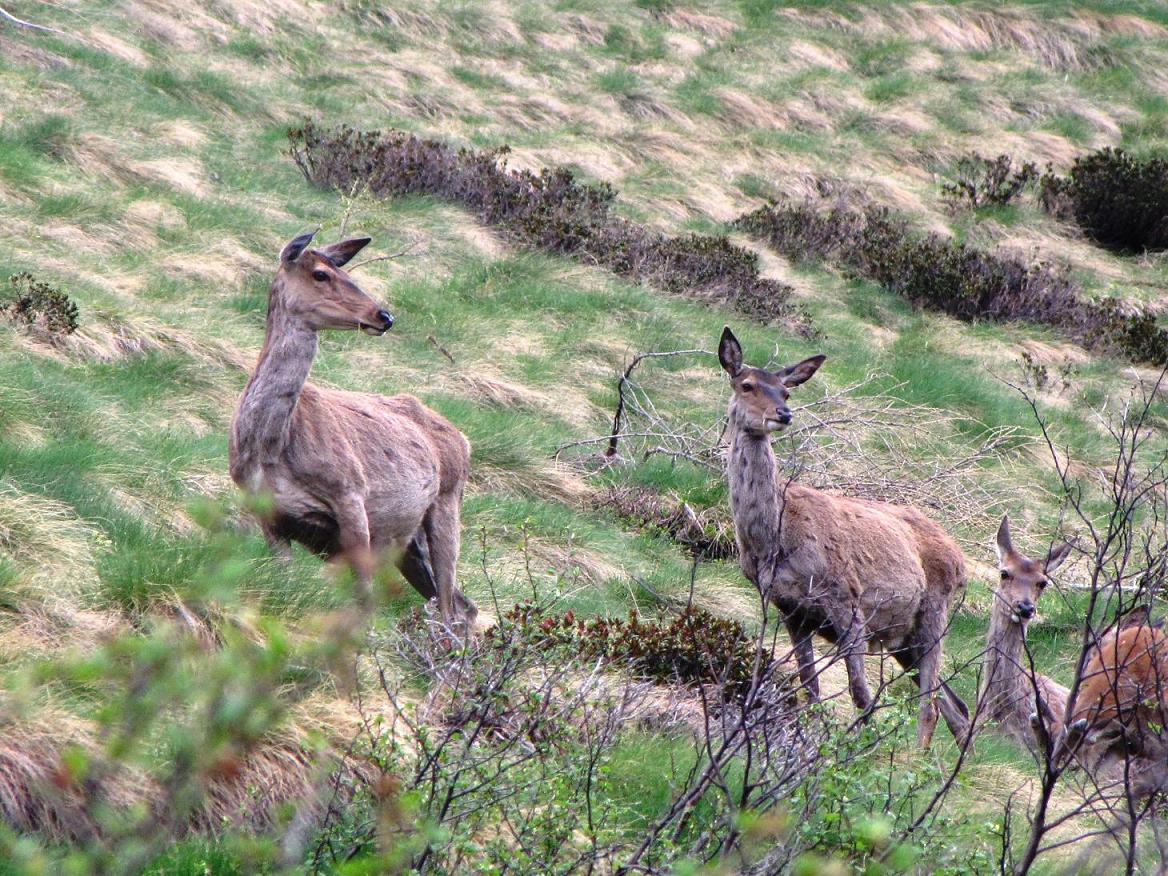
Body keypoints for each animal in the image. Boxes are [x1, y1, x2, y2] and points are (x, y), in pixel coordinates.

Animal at [230, 231, 476, 626]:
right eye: (320, 273)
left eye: (342, 271)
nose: (384, 315)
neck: (270, 449)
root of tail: (465, 440)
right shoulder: (268, 516)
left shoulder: (351, 494)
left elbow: (363, 600)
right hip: (410, 543)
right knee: (462, 604)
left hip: (447, 502)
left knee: (451, 606)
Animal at [714, 327, 971, 752]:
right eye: (746, 385)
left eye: (785, 392)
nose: (783, 415)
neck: (772, 542)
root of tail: (962, 559)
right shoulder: (789, 609)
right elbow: (810, 687)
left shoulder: (847, 599)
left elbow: (861, 694)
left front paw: (858, 752)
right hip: (905, 637)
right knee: (957, 707)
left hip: (935, 609)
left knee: (931, 704)